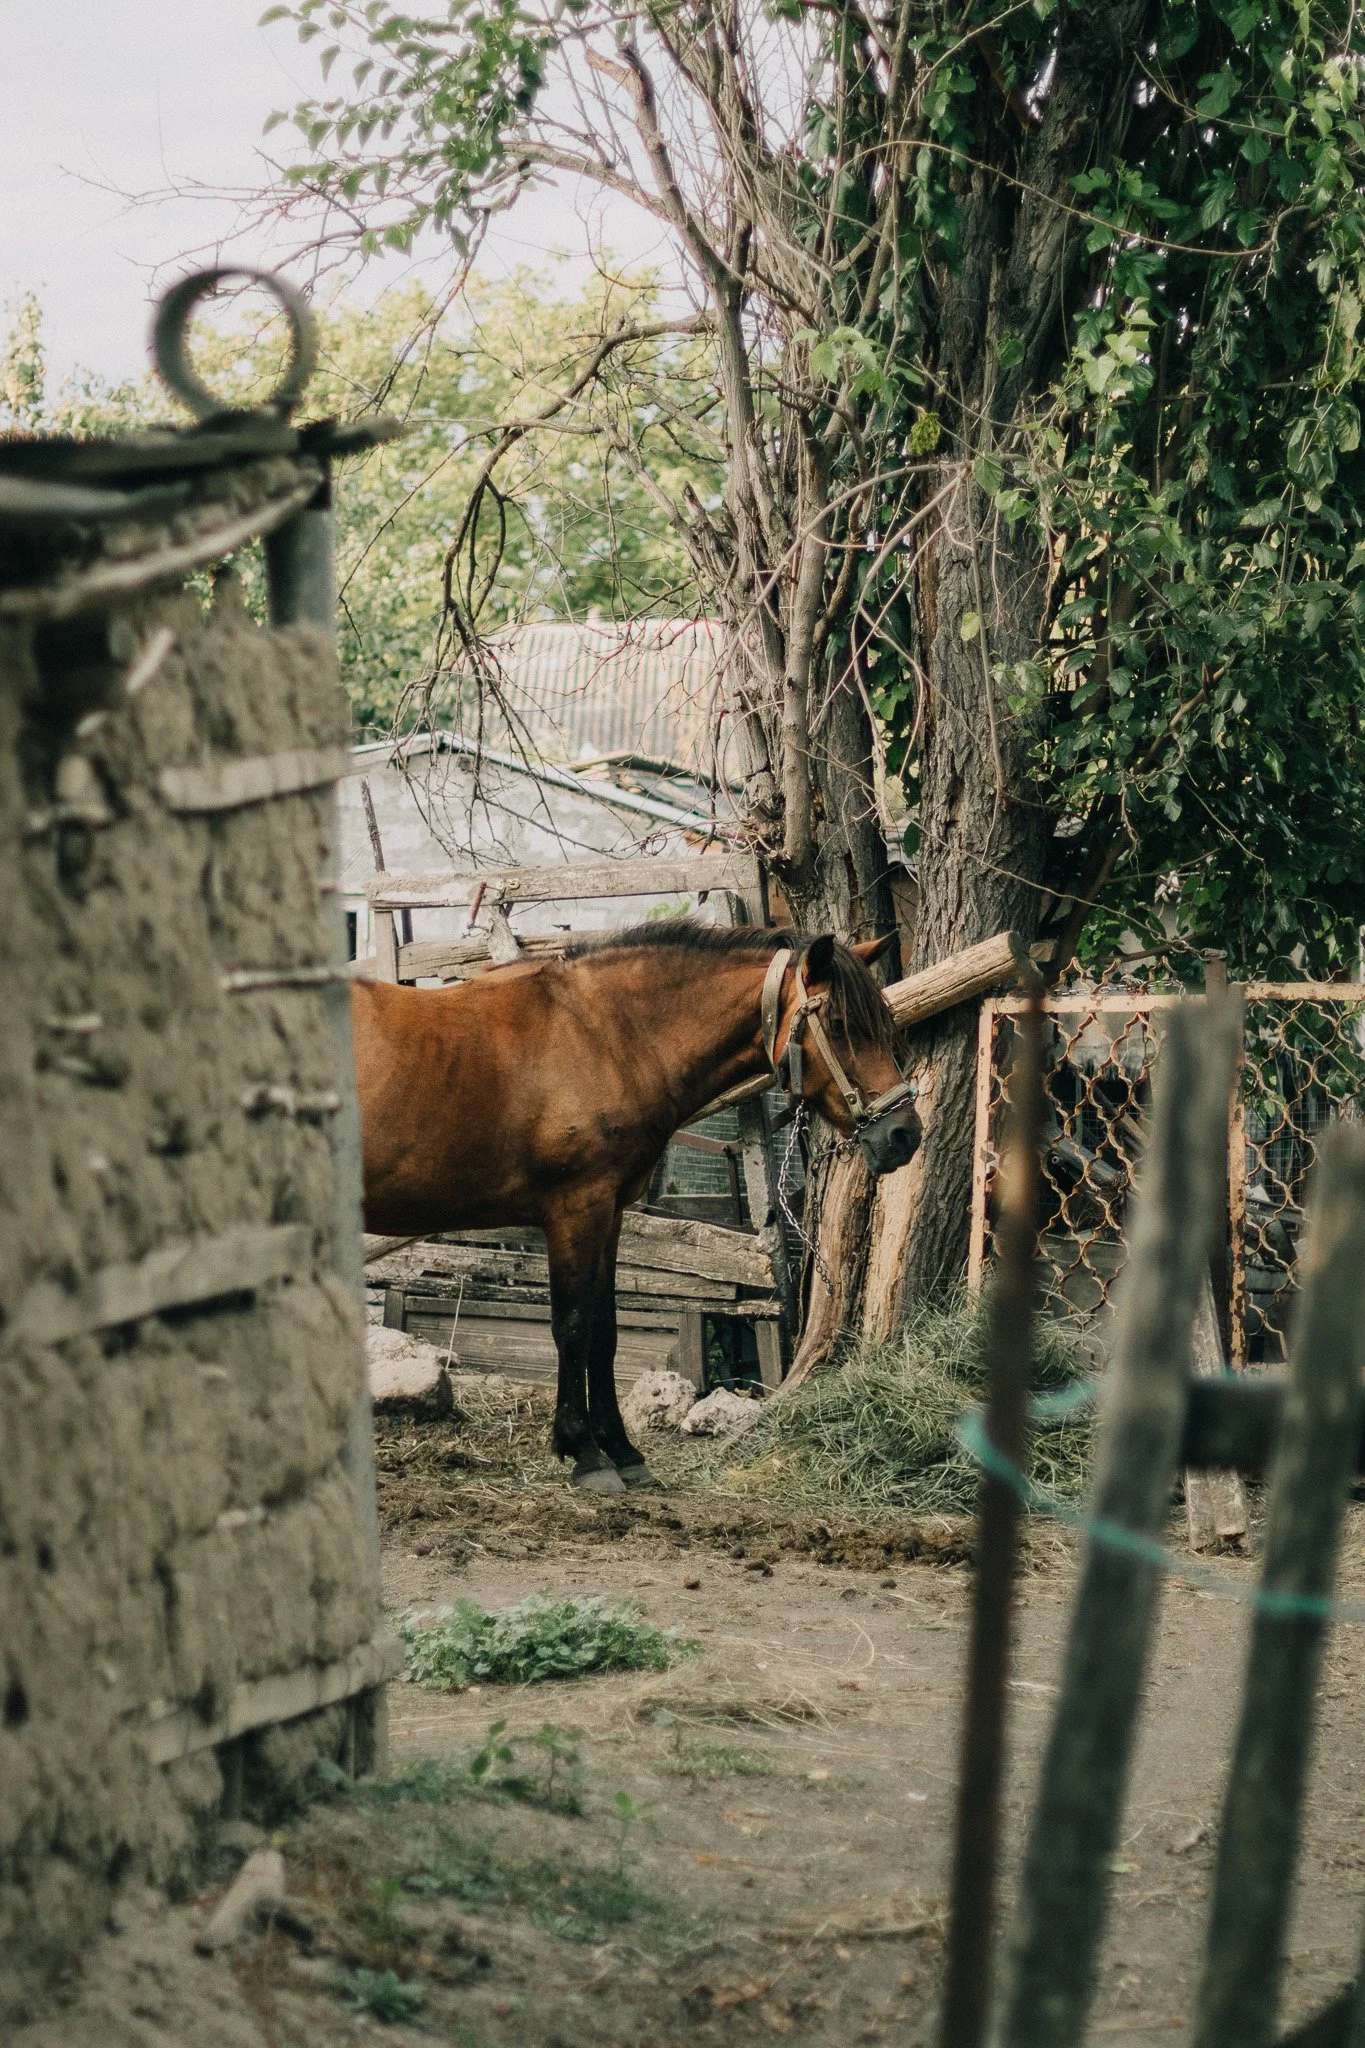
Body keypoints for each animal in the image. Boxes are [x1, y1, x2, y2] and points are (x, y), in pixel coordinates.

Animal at [352, 922, 921, 1491]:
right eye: (841, 1026)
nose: (904, 1134)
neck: (602, 1036)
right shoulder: (576, 1210)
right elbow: (573, 1326)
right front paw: (584, 1451)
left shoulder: (610, 1213)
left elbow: (605, 1329)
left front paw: (622, 1450)